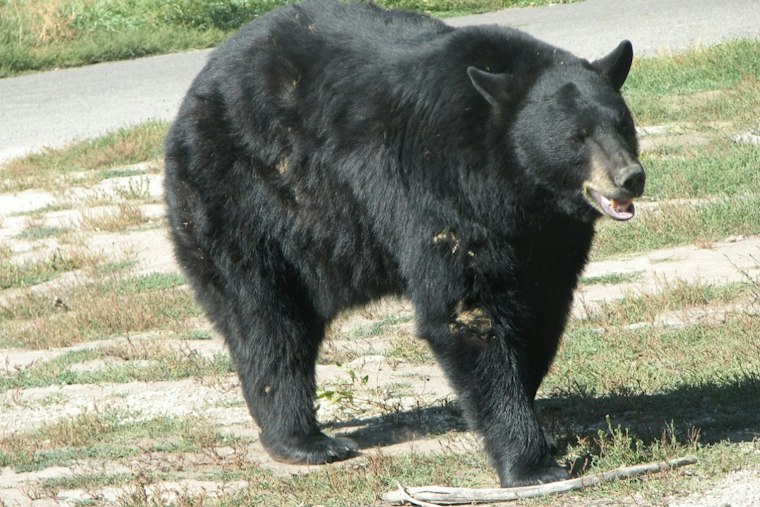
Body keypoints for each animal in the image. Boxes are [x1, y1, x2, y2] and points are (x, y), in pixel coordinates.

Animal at [164, 0, 645, 487]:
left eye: (623, 123)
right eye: (576, 137)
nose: (630, 177)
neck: (515, 185)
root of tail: (198, 87)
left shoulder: (549, 235)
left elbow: (543, 308)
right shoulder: (440, 190)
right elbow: (466, 311)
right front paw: (530, 463)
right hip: (242, 198)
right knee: (267, 320)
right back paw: (306, 441)